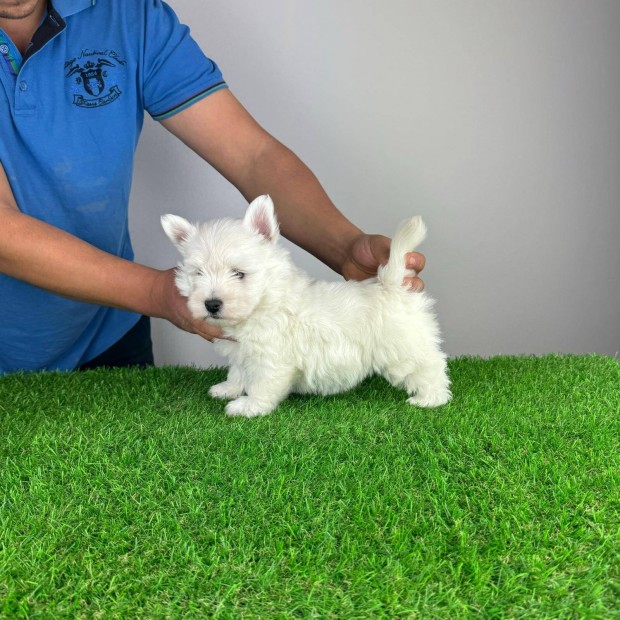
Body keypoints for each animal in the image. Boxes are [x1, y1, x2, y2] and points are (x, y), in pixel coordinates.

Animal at [162, 196, 448, 418]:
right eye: (198, 273)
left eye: (239, 273)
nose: (211, 304)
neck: (265, 300)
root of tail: (392, 285)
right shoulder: (242, 352)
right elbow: (238, 372)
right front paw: (228, 389)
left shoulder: (272, 359)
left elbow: (262, 384)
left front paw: (249, 406)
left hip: (404, 349)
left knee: (431, 366)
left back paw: (431, 398)